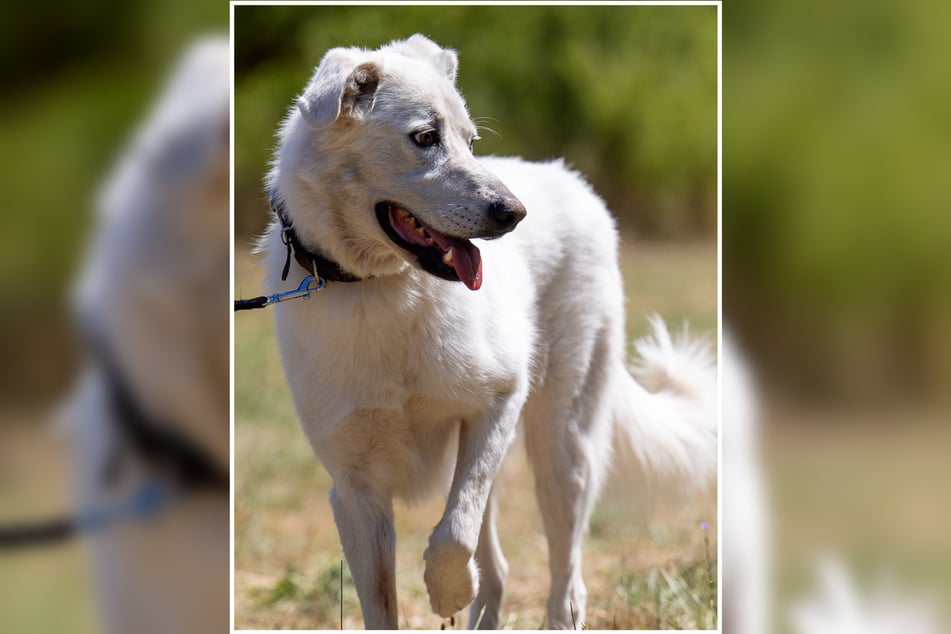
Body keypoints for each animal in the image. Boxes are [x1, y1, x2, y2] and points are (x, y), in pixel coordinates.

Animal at [260, 35, 712, 628]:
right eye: (424, 138)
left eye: (471, 142)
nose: (513, 213)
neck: (382, 287)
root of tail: (571, 179)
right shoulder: (355, 490)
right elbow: (385, 598)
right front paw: (450, 593)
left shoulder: (498, 401)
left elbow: (454, 533)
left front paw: (446, 592)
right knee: (497, 568)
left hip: (561, 446)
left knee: (564, 573)